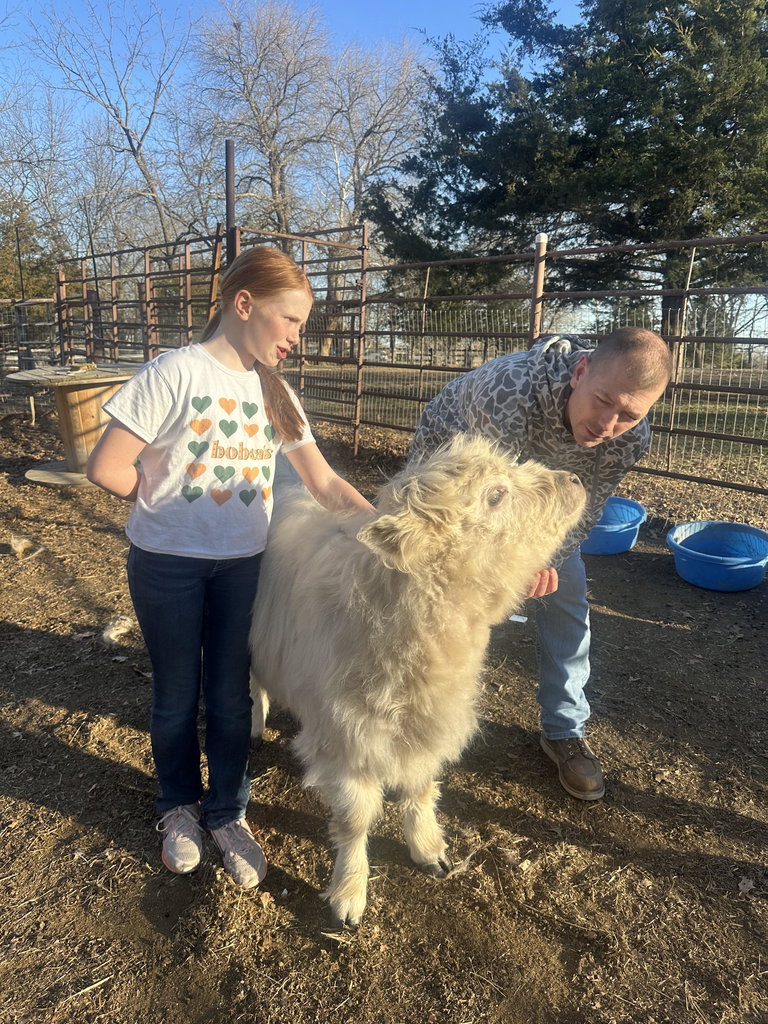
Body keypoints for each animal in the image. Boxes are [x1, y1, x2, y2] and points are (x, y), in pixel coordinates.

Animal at [249, 433, 586, 928]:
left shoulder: (428, 726)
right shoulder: (347, 739)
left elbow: (422, 787)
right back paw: (255, 724)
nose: (574, 480)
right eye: (495, 494)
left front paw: (428, 849)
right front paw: (349, 893)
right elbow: (354, 820)